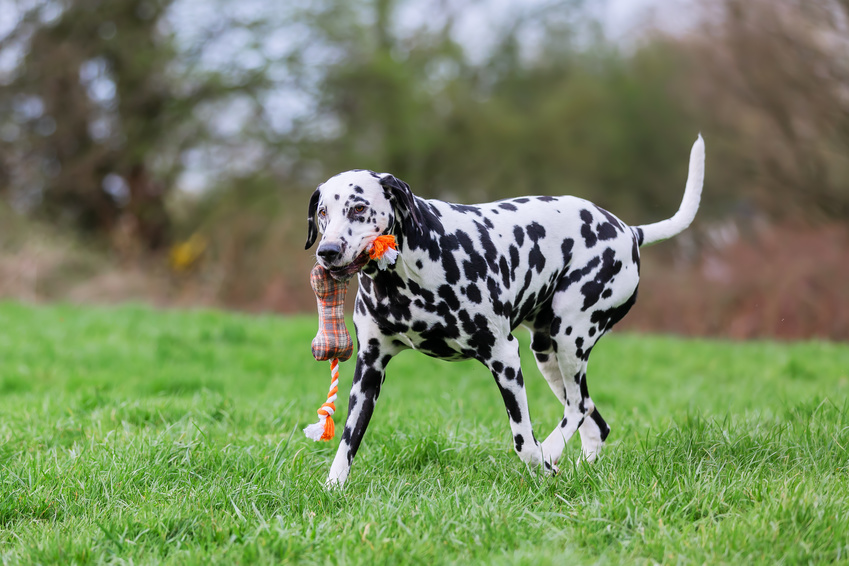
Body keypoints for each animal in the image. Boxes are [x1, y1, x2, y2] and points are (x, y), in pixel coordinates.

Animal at [304, 135, 704, 486]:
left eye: (358, 207)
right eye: (323, 212)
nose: (327, 251)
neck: (407, 272)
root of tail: (628, 230)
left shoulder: (504, 358)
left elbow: (524, 442)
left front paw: (542, 462)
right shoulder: (369, 370)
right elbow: (347, 441)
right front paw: (333, 488)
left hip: (570, 341)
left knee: (577, 408)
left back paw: (552, 454)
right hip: (547, 355)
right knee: (594, 420)